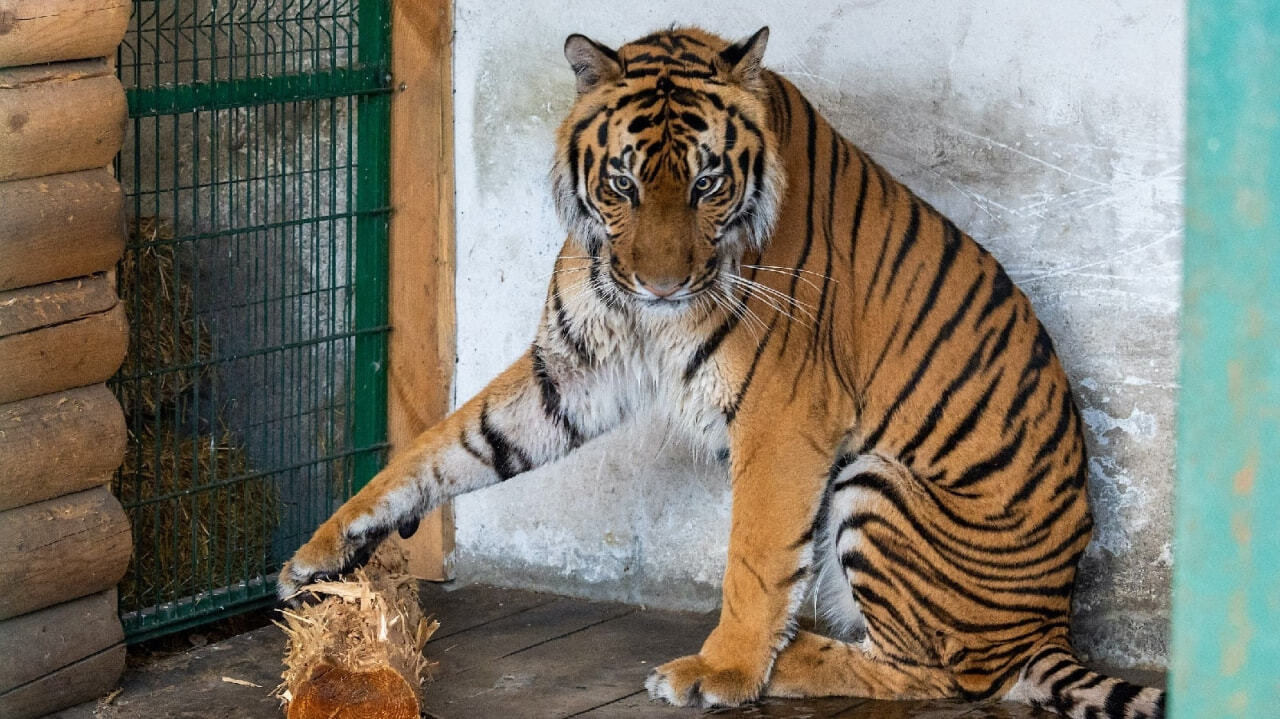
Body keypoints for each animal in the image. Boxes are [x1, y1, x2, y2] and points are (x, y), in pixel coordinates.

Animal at [280, 25, 1172, 711]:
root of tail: (1051, 622)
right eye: (623, 182)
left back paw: (793, 654)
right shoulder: (571, 369)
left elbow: (755, 552)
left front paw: (723, 670)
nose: (661, 285)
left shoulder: (785, 411)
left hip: (880, 481)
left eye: (708, 183)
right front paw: (326, 545)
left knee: (947, 674)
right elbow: (450, 443)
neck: (643, 312)